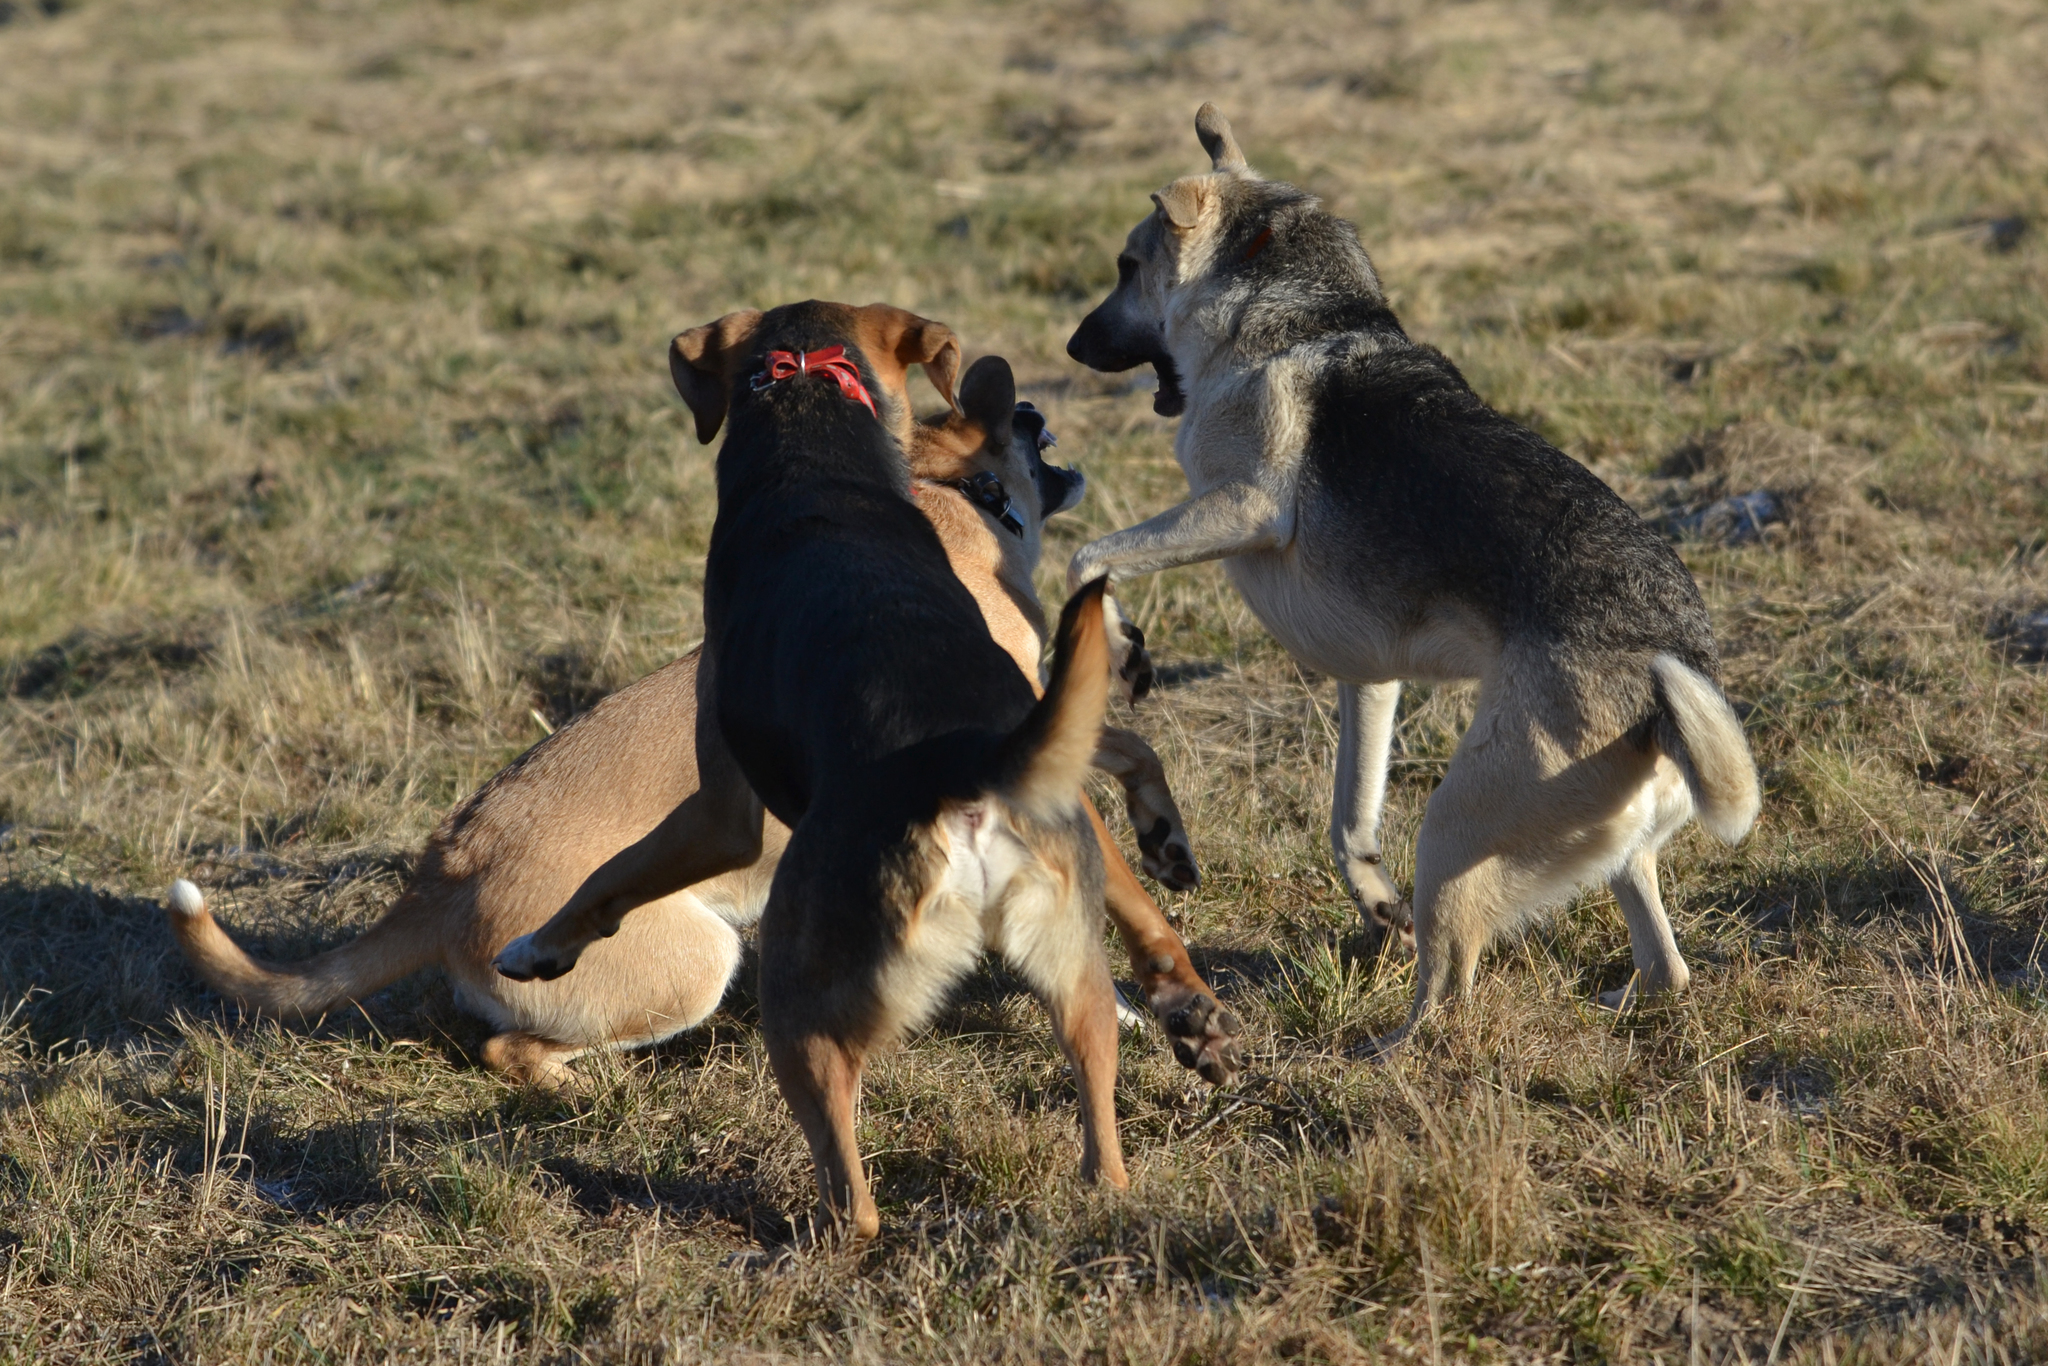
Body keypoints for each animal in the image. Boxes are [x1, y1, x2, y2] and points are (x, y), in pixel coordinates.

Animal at [495, 301, 1138, 1236]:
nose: (1023, 408)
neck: (814, 454)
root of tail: (963, 781)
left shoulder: (720, 812)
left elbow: (613, 876)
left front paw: (538, 949)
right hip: (1076, 977)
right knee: (1102, 1119)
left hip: (798, 1005)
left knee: (849, 1181)